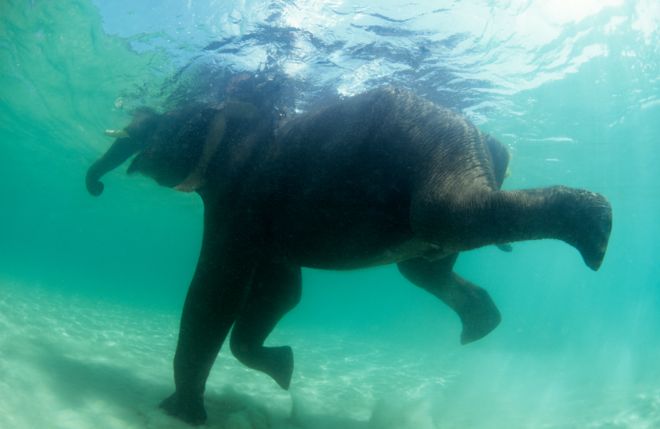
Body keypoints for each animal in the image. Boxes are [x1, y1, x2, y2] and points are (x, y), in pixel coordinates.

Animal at [85, 85, 612, 422]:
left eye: (166, 124)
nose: (95, 187)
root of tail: (484, 139)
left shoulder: (237, 196)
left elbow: (217, 289)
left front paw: (180, 414)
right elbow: (280, 292)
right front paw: (284, 371)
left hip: (433, 153)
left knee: (447, 216)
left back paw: (596, 234)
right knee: (423, 266)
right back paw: (481, 327)